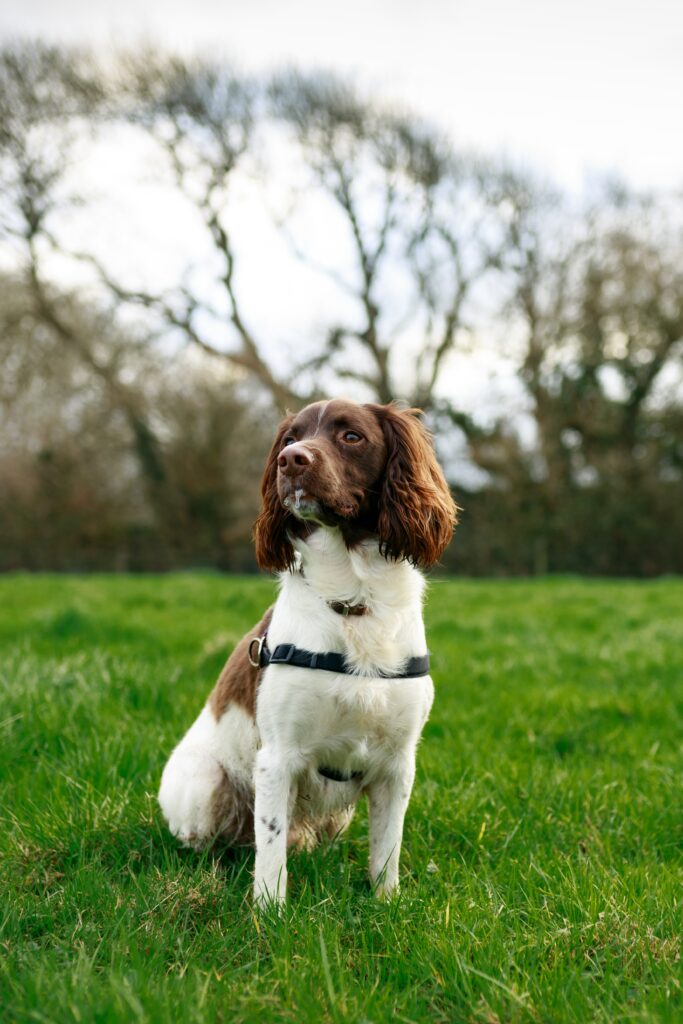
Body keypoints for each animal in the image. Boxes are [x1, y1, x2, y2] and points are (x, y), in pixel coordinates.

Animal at [159, 399, 456, 905]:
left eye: (351, 436)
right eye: (289, 438)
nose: (291, 460)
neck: (354, 603)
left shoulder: (397, 764)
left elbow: (387, 850)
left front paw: (386, 903)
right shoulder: (278, 757)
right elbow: (270, 849)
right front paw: (270, 911)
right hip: (204, 785)